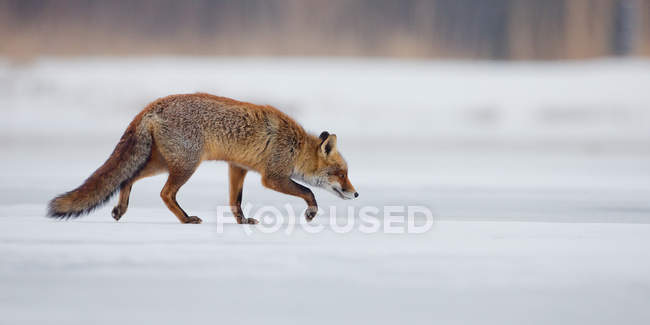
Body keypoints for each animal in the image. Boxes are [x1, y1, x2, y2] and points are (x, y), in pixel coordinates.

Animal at [47, 93, 356, 223]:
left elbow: (235, 202)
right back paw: (185, 220)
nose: (356, 194)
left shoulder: (237, 167)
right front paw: (311, 213)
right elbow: (308, 192)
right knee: (165, 193)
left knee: (128, 178)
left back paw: (120, 209)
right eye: (341, 173)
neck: (294, 146)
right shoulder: (273, 177)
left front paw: (243, 222)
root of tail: (153, 105)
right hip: (186, 165)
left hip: (163, 163)